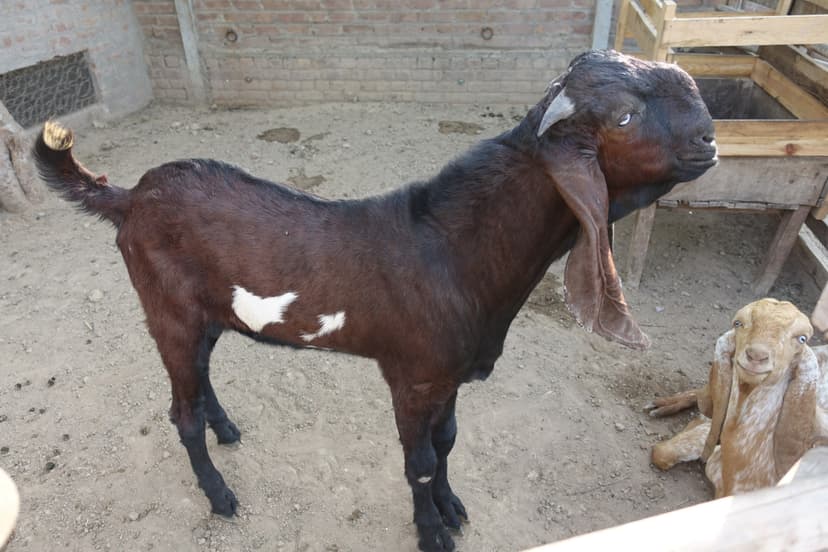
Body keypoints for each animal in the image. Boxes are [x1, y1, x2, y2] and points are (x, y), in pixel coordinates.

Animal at [34, 50, 717, 552]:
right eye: (624, 117)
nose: (710, 138)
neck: (451, 253)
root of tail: (130, 197)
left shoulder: (448, 377)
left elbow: (448, 443)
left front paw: (453, 508)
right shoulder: (411, 376)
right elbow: (420, 459)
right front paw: (432, 533)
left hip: (205, 316)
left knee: (199, 380)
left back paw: (226, 428)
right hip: (167, 310)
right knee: (181, 412)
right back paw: (221, 496)